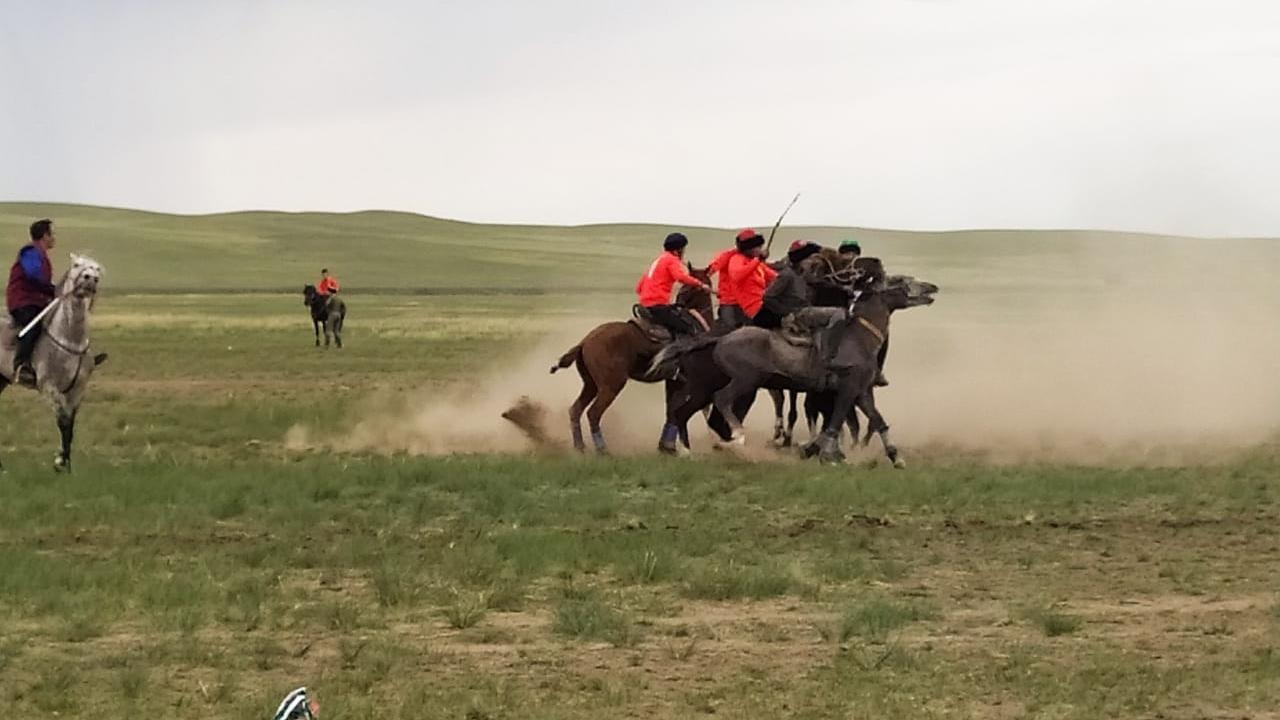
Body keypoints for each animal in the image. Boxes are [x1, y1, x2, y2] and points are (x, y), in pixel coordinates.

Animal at [0, 252, 107, 471]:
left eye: (97, 269)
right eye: (76, 265)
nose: (90, 279)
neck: (69, 338)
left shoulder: (77, 391)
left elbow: (70, 425)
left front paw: (66, 464)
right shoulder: (50, 388)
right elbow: (63, 422)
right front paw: (60, 462)